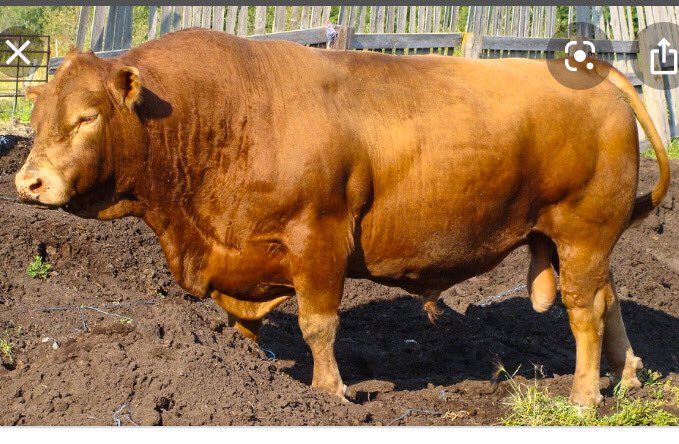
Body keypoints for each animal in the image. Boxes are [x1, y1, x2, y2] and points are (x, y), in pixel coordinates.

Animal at [15, 28, 670, 407]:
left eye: (86, 117)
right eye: (41, 115)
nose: (28, 182)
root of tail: (595, 74)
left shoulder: (318, 239)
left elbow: (319, 326)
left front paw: (329, 393)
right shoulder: (238, 258)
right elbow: (244, 326)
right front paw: (252, 374)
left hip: (582, 233)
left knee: (584, 314)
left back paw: (585, 397)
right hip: (576, 240)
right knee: (609, 301)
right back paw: (629, 374)